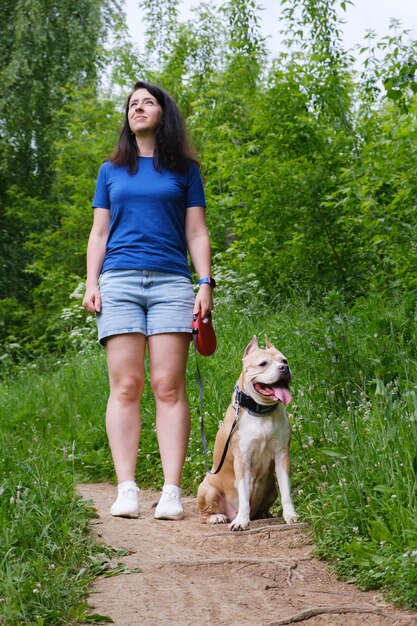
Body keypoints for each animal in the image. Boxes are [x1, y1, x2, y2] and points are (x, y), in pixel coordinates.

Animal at [197, 334, 298, 528]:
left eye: (284, 360)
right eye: (263, 364)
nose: (285, 368)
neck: (261, 411)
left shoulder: (282, 455)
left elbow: (286, 491)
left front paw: (290, 515)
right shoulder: (242, 459)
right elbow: (243, 495)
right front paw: (241, 521)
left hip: (271, 487)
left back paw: (264, 514)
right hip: (207, 488)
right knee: (204, 514)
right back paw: (217, 517)